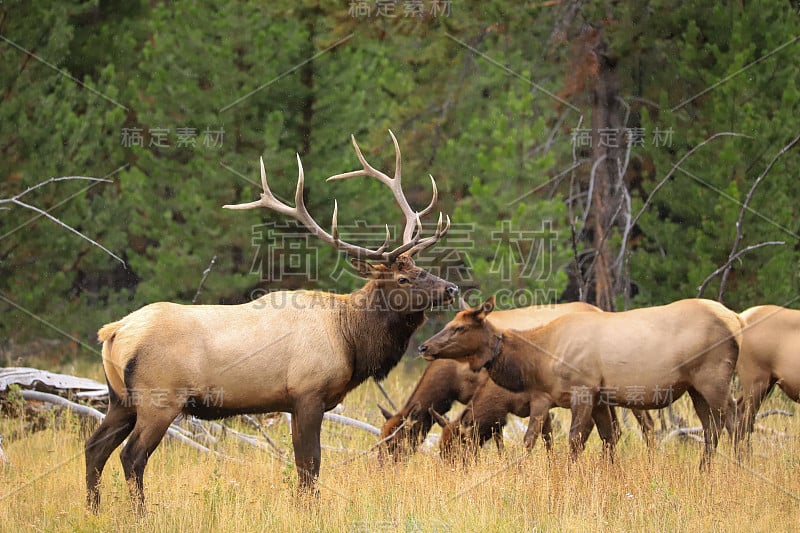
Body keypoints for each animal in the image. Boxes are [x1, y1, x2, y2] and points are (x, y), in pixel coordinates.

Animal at [84, 130, 460, 512]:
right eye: (403, 278)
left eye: (420, 268)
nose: (451, 288)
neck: (351, 340)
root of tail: (113, 332)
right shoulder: (308, 392)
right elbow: (310, 463)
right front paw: (309, 509)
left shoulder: (292, 403)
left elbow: (302, 464)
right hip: (159, 399)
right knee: (132, 456)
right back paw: (140, 514)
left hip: (120, 399)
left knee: (94, 447)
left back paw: (93, 509)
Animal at [418, 296, 744, 466]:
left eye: (459, 327)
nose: (424, 346)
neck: (538, 359)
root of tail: (738, 321)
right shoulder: (564, 398)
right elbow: (603, 437)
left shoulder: (582, 391)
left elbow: (571, 440)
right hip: (695, 387)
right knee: (711, 427)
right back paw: (705, 470)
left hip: (714, 378)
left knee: (734, 419)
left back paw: (739, 467)